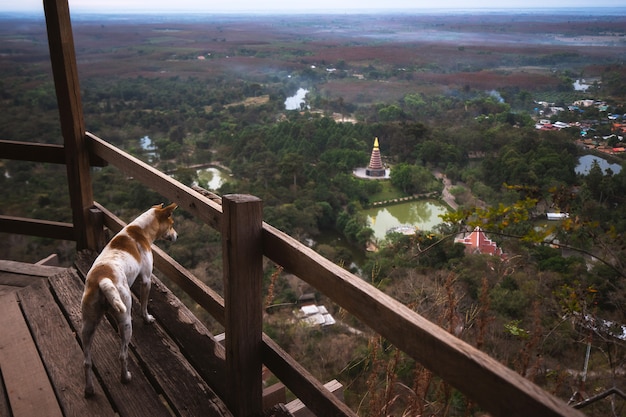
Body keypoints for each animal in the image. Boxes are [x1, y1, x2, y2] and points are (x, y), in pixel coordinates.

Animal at [80, 202, 177, 396]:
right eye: (171, 224)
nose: (176, 235)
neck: (140, 230)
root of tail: (103, 280)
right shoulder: (146, 279)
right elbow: (144, 305)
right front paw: (147, 318)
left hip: (88, 324)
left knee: (87, 362)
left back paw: (89, 390)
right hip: (125, 319)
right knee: (123, 355)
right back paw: (125, 378)